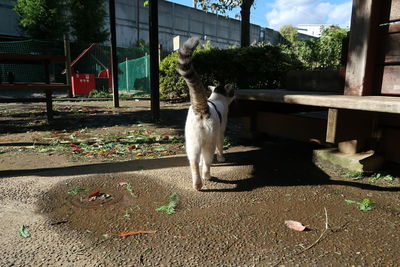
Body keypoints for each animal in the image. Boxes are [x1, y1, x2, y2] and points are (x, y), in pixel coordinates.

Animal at [177, 37, 234, 191]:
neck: (216, 98)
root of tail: (201, 108)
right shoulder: (221, 131)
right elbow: (221, 147)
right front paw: (221, 158)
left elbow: (200, 160)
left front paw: (202, 163)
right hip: (209, 141)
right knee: (208, 159)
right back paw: (206, 176)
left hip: (192, 142)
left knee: (194, 162)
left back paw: (197, 183)